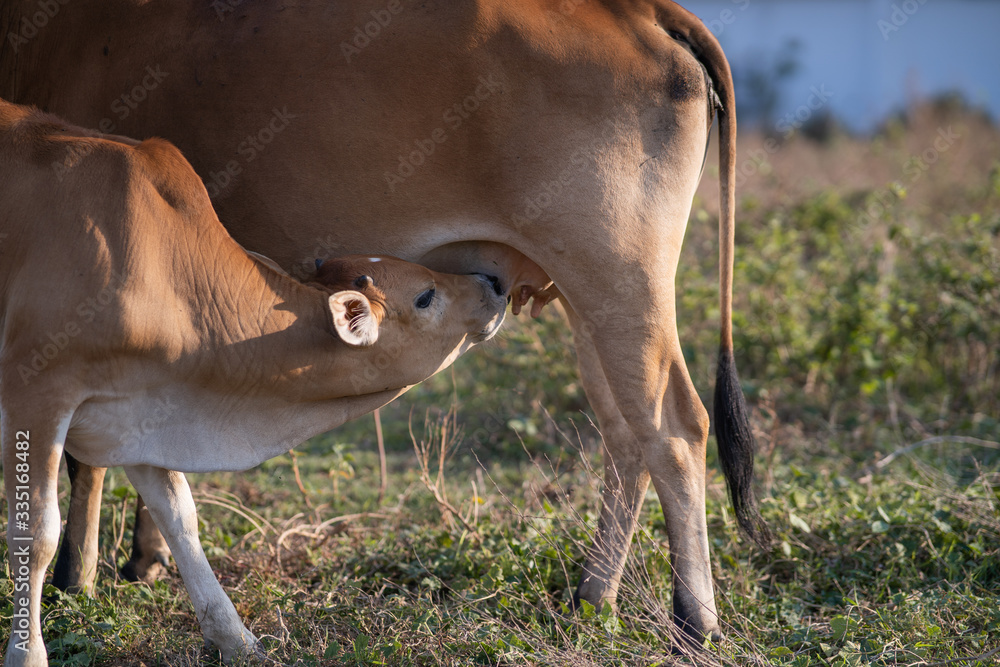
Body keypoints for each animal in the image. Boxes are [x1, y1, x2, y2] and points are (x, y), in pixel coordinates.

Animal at [0, 0, 768, 648]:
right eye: (423, 295)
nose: (486, 287)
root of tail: (641, 11)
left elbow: (75, 478)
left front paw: (79, 577)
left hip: (619, 279)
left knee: (673, 427)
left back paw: (694, 617)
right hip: (588, 299)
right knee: (624, 432)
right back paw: (592, 594)